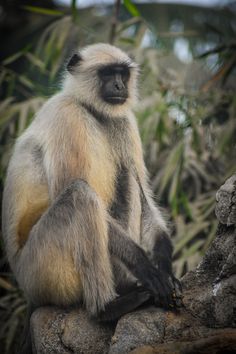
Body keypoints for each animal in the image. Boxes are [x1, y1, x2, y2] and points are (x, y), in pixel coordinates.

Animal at [1, 44, 182, 332]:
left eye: (122, 73)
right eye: (107, 74)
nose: (119, 85)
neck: (91, 110)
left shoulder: (124, 122)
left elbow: (145, 201)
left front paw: (164, 268)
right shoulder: (66, 114)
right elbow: (70, 188)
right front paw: (147, 267)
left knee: (128, 178)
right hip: (40, 271)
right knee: (80, 195)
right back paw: (107, 308)